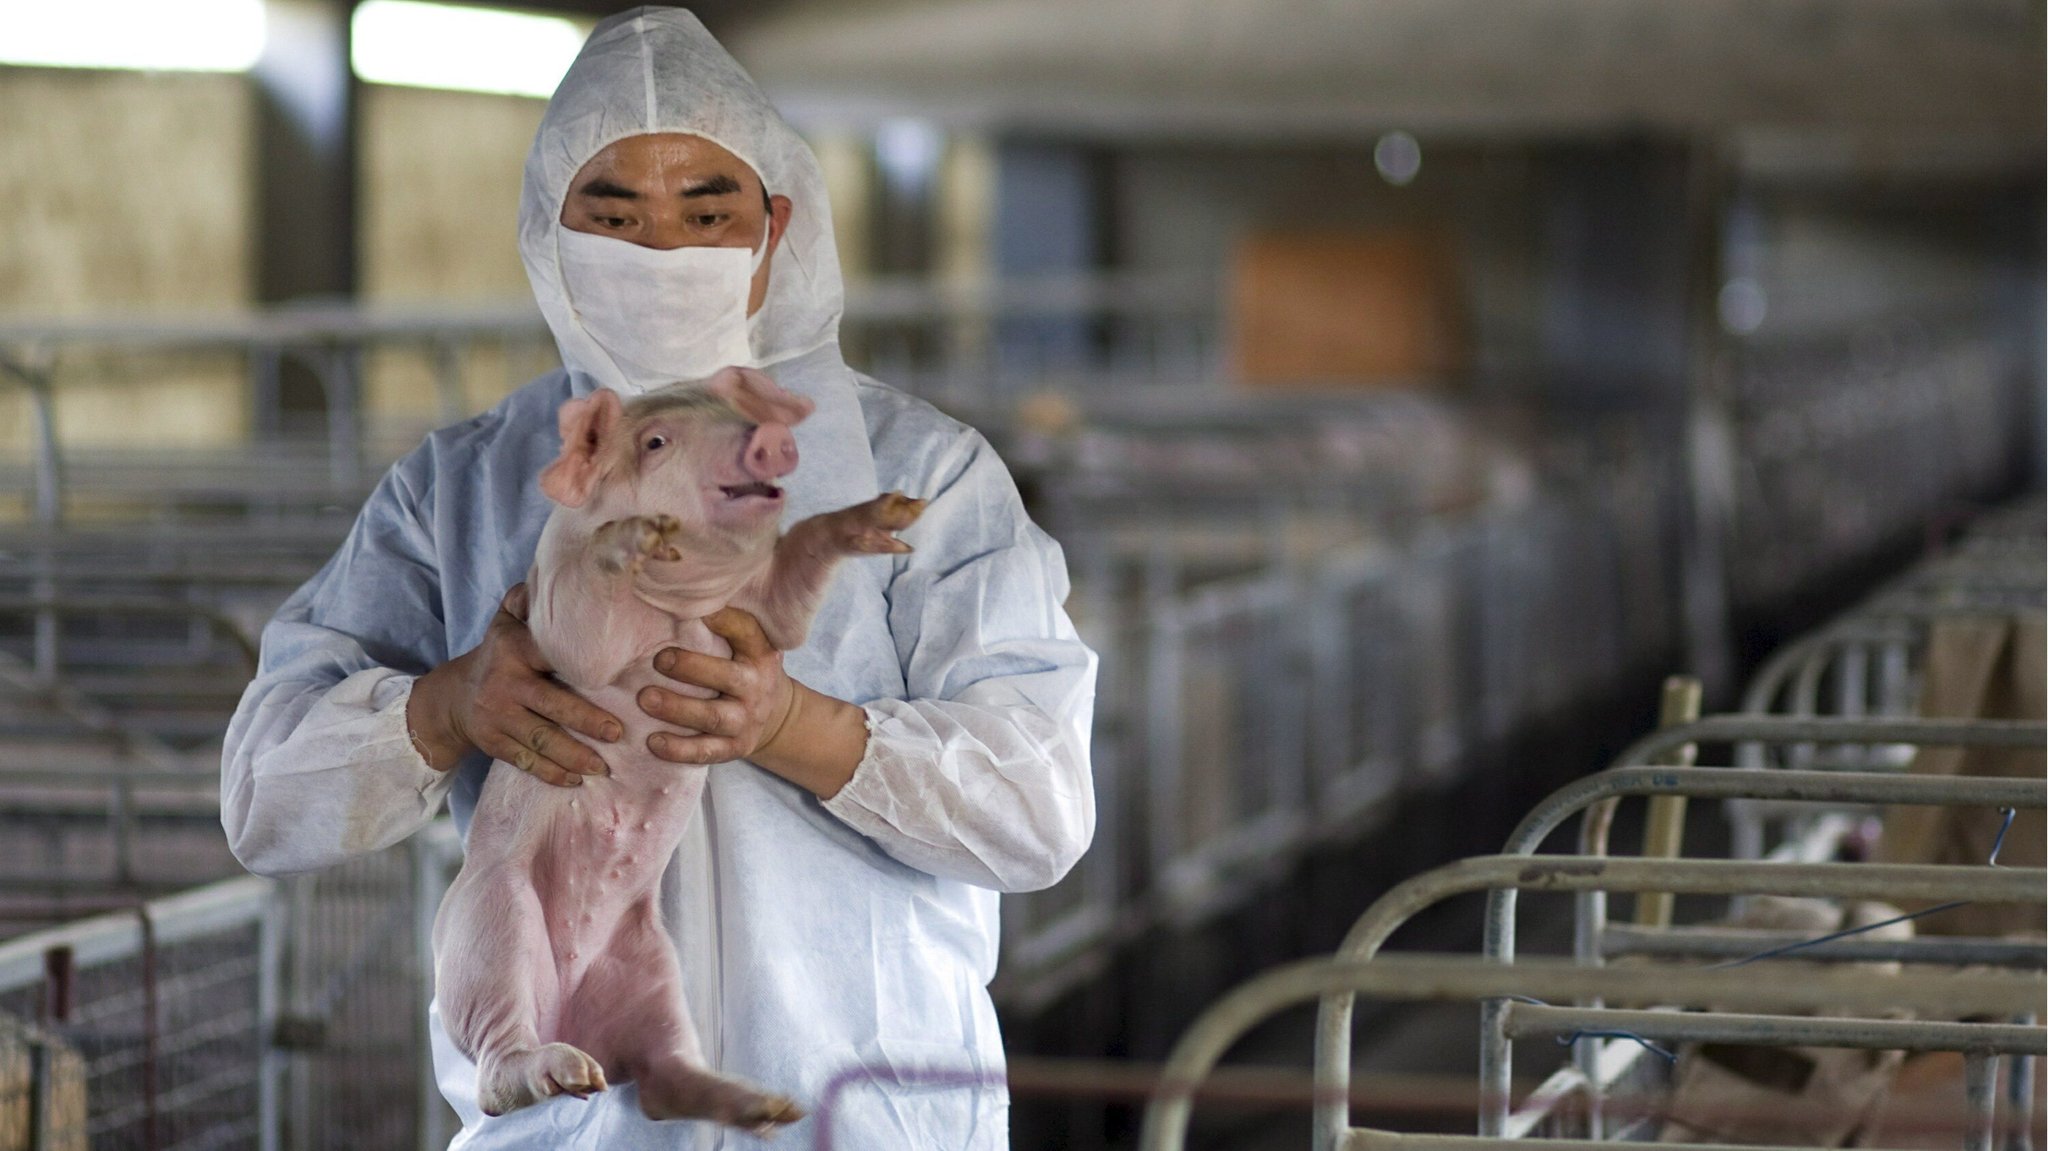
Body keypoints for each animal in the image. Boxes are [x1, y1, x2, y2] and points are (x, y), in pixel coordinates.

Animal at [440, 366, 929, 1130]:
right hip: (488, 923)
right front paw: (641, 534)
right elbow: (579, 638)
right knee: (496, 1072)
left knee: (662, 1077)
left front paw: (894, 514)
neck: (678, 608)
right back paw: (557, 1071)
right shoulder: (555, 607)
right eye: (656, 442)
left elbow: (788, 602)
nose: (765, 437)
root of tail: (569, 1012)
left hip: (651, 961)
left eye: (730, 413)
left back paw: (768, 1106)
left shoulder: (752, 613)